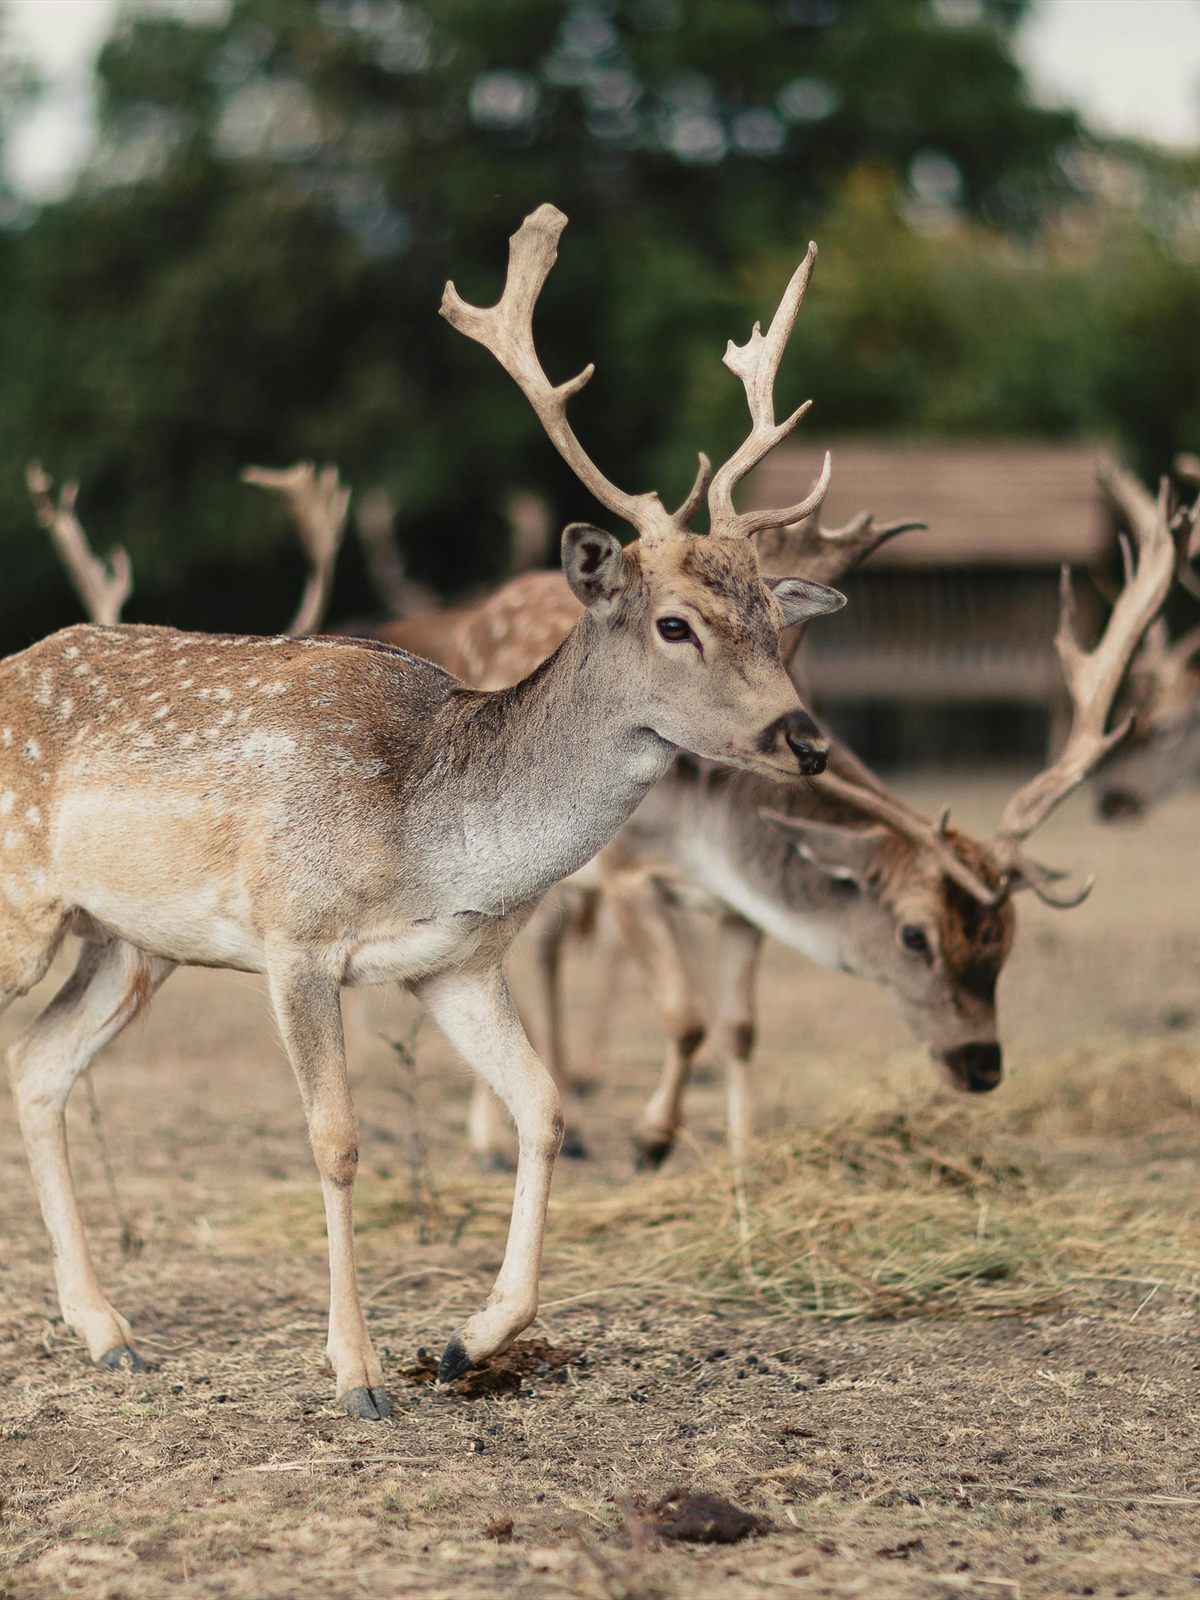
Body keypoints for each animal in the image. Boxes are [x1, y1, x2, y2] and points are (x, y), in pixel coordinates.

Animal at [3, 202, 846, 1418]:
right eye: (676, 622)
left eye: (777, 625)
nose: (805, 738)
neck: (434, 835)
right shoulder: (296, 936)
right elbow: (337, 1139)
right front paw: (357, 1374)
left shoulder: (458, 960)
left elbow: (546, 1107)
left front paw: (467, 1339)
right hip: (29, 917)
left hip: (128, 945)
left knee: (38, 1069)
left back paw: (109, 1332)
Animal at [391, 462, 1189, 1169]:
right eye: (915, 935)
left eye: (1008, 940)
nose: (982, 1065)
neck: (706, 833)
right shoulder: (625, 874)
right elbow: (686, 1018)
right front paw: (653, 1140)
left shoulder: (740, 909)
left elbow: (741, 1028)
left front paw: (744, 1153)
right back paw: (495, 1141)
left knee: (548, 953)